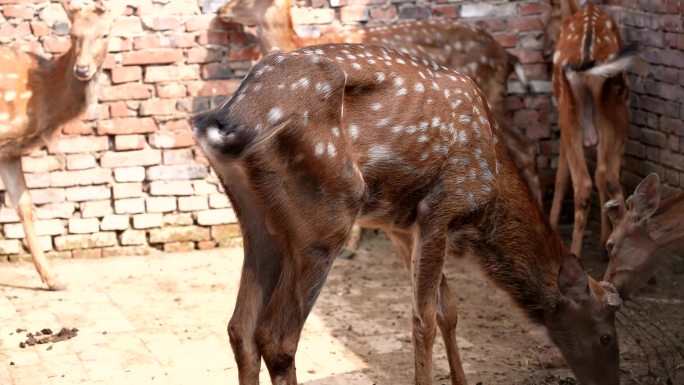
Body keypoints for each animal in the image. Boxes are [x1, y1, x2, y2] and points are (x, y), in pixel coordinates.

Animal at [0, 0, 121, 288]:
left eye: (104, 34)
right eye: (73, 34)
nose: (82, 69)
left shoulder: (9, 151)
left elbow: (24, 206)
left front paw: (53, 279)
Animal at [192, 43, 624, 384]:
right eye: (606, 335)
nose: (610, 381)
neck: (487, 198)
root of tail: (226, 120)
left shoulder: (399, 225)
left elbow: (448, 309)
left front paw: (463, 381)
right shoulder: (442, 208)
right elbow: (424, 317)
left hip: (259, 224)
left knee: (240, 330)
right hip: (326, 215)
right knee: (277, 338)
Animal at [544, 0, 648, 258]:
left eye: (550, 16)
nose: (544, 51)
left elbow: (562, 175)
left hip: (573, 109)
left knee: (590, 180)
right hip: (612, 105)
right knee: (603, 175)